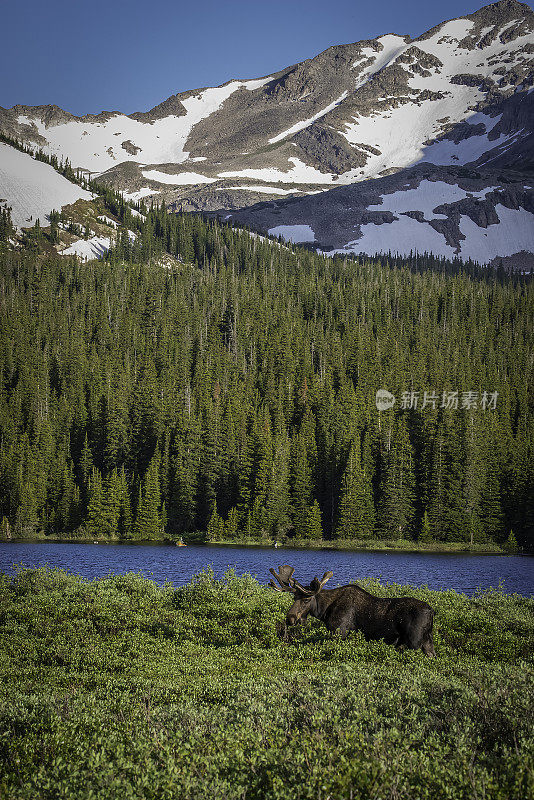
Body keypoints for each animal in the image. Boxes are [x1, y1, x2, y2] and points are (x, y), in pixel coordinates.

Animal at [270, 564, 438, 656]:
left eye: (306, 600)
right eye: (293, 598)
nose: (290, 619)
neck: (324, 611)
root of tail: (431, 612)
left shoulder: (340, 632)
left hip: (414, 641)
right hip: (427, 641)